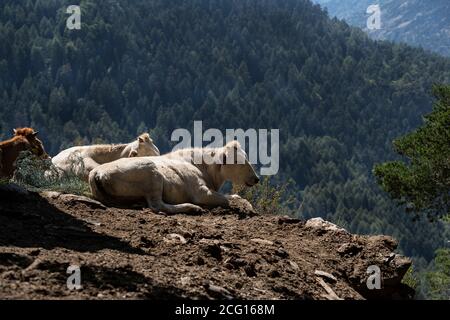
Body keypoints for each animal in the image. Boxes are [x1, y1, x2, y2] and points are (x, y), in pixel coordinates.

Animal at [89, 141, 260, 214]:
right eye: (237, 161)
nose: (256, 178)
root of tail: (97, 172)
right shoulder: (200, 191)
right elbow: (226, 200)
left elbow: (234, 196)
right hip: (152, 176)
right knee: (158, 206)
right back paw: (191, 207)